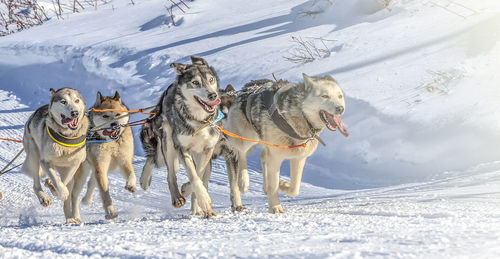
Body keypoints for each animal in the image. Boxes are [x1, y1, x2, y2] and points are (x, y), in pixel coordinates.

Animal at [22, 87, 89, 223]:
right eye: (63, 102)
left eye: (77, 100)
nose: (75, 113)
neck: (67, 136)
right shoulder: (45, 162)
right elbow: (56, 180)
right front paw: (59, 191)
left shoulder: (74, 164)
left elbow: (64, 181)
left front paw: (54, 189)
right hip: (34, 155)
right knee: (36, 184)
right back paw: (44, 197)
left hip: (79, 175)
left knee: (73, 195)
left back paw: (72, 218)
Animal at [71, 91, 137, 221]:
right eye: (105, 116)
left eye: (118, 114)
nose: (114, 124)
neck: (111, 142)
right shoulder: (100, 165)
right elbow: (104, 192)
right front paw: (111, 212)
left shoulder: (124, 161)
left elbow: (132, 174)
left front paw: (131, 185)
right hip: (82, 172)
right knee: (74, 195)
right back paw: (75, 217)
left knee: (91, 183)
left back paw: (86, 200)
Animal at [139, 57, 221, 219]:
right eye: (195, 82)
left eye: (211, 79)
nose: (213, 95)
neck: (198, 121)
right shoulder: (181, 148)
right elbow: (194, 177)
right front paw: (200, 197)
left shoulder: (207, 149)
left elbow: (198, 175)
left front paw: (197, 196)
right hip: (168, 142)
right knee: (165, 169)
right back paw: (172, 195)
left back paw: (199, 209)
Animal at [226, 74, 348, 214]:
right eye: (325, 96)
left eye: (340, 96)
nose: (340, 109)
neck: (301, 116)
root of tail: (247, 88)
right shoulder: (275, 158)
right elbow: (274, 185)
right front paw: (275, 207)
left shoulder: (299, 158)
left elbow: (295, 188)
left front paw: (283, 185)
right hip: (246, 139)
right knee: (241, 154)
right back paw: (243, 182)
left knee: (262, 157)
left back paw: (264, 186)